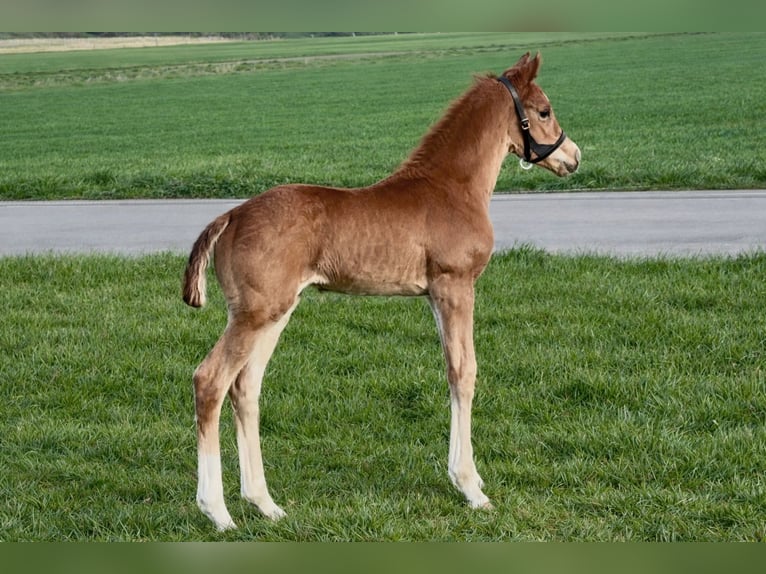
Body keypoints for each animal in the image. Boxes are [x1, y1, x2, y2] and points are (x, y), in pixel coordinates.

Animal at [182, 52, 581, 531]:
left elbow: (450, 370)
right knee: (210, 381)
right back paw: (218, 511)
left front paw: (469, 478)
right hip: (254, 315)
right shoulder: (455, 285)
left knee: (246, 386)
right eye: (544, 111)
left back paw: (265, 503)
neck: (451, 187)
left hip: (275, 312)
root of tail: (230, 216)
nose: (574, 157)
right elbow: (464, 373)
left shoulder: (434, 295)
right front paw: (470, 487)